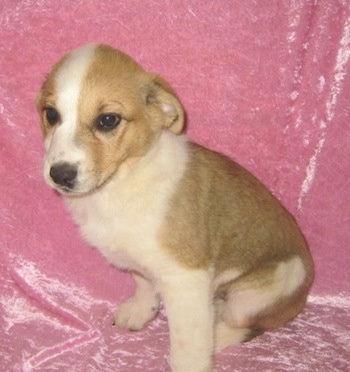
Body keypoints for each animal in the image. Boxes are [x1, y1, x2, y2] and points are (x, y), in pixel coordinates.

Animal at [36, 44, 314, 372]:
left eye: (107, 120)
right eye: (51, 114)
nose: (60, 175)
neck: (121, 183)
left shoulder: (186, 279)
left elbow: (188, 345)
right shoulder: (141, 258)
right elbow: (143, 281)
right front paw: (141, 310)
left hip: (267, 287)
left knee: (248, 324)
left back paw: (218, 334)